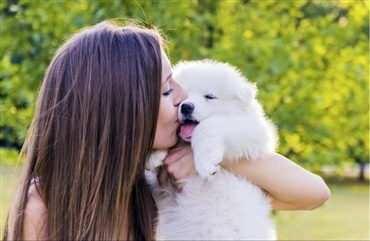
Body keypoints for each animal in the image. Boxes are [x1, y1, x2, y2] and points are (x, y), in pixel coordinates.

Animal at [146, 59, 278, 240]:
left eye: (210, 97)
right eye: (184, 95)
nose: (186, 106)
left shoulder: (253, 131)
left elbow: (210, 125)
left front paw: (206, 162)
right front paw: (154, 154)